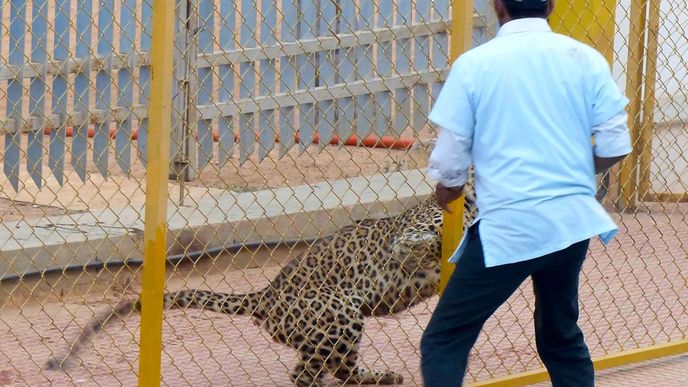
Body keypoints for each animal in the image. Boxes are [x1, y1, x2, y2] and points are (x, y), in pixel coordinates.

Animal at [45, 180, 478, 386]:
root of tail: (264, 296)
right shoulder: (411, 236)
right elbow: (424, 241)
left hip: (330, 332)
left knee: (326, 370)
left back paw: (381, 376)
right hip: (339, 314)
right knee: (310, 374)